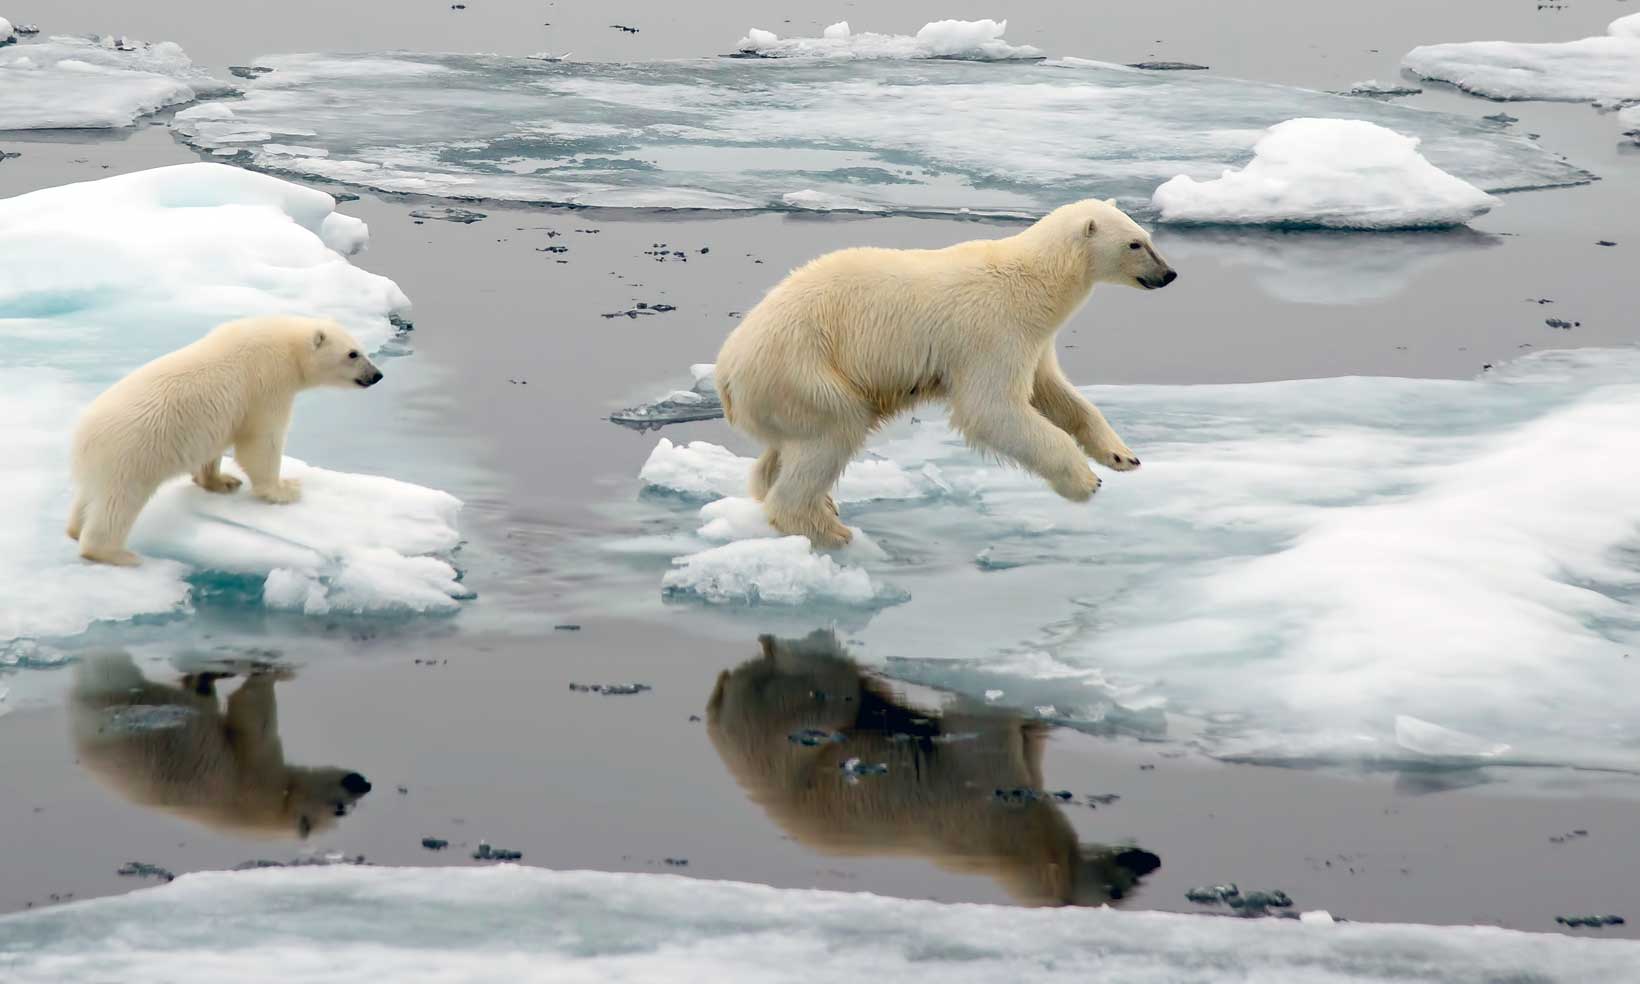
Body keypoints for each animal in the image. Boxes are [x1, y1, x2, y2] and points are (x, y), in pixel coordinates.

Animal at [68, 311, 383, 564]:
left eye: (362, 349)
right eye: (353, 353)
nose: (377, 375)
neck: (285, 344)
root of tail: (82, 436)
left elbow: (215, 449)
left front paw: (223, 481)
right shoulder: (268, 384)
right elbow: (261, 442)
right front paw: (285, 488)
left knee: (87, 497)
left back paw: (74, 528)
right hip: (130, 455)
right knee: (118, 504)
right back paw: (116, 553)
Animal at [721, 197, 1180, 554]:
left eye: (1148, 235)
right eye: (1136, 243)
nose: (1169, 275)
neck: (1033, 283)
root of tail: (726, 372)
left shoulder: (1034, 341)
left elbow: (1055, 394)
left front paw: (1122, 455)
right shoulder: (992, 331)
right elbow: (992, 409)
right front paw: (1085, 481)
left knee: (782, 451)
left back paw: (819, 505)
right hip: (806, 371)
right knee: (834, 431)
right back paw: (832, 530)